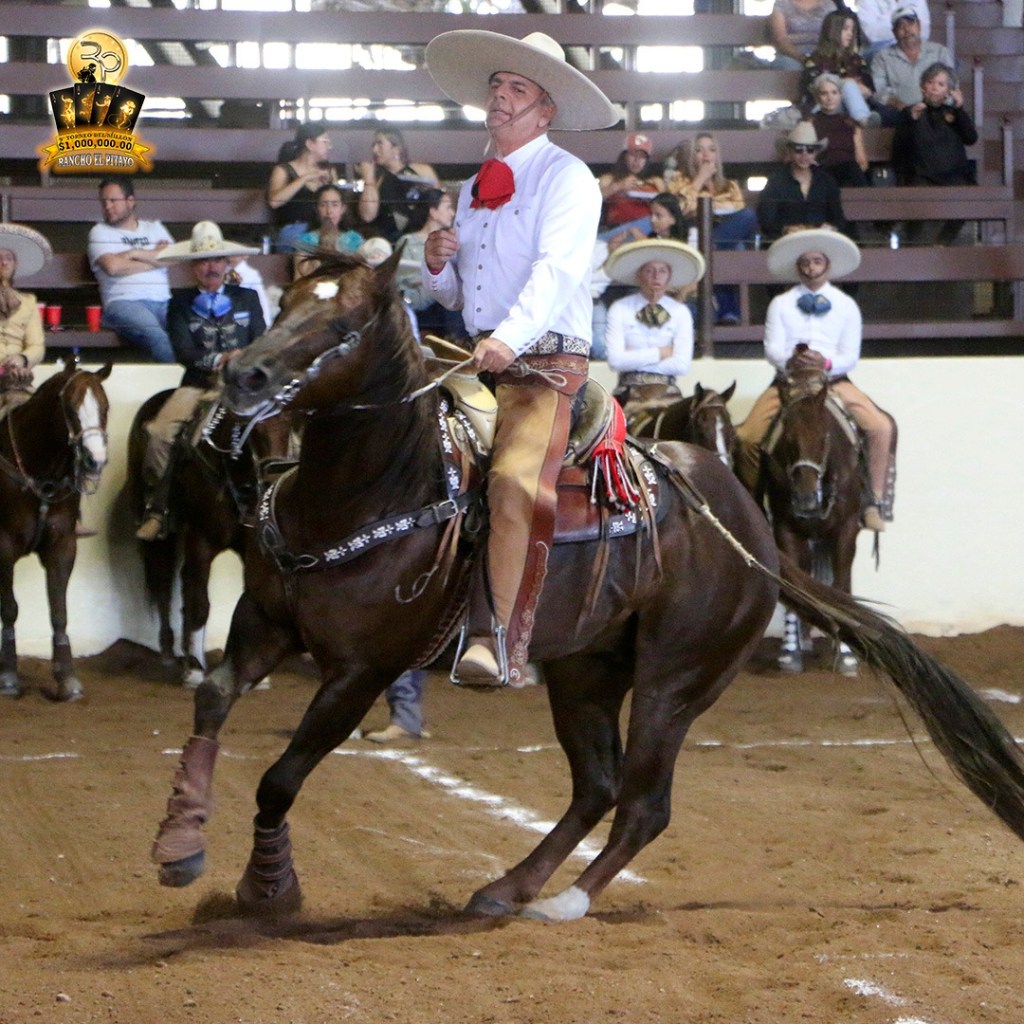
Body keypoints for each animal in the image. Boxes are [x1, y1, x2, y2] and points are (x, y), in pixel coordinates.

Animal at [0, 360, 112, 701]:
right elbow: (9, 609)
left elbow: (59, 609)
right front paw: (8, 676)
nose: (95, 459)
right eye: (70, 407)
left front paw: (67, 679)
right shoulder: (3, 547)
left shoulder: (62, 544)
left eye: (105, 406)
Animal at [127, 392, 293, 687]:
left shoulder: (251, 547)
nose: (273, 479)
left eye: (289, 422)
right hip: (162, 536)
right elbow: (200, 603)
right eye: (255, 429)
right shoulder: (201, 539)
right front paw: (194, 669)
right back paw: (170, 653)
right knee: (164, 581)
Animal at [760, 367, 864, 675]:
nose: (806, 499)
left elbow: (841, 584)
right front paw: (790, 652)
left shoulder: (846, 529)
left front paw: (846, 656)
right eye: (788, 440)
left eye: (824, 438)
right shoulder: (785, 529)